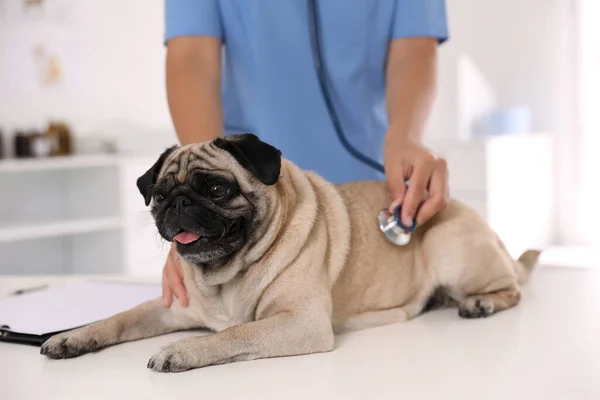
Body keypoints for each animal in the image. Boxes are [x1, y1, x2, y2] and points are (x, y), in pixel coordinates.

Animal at [39, 134, 540, 372]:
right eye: (159, 196)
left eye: (217, 190)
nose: (179, 204)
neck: (224, 277)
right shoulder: (168, 308)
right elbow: (119, 318)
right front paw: (74, 337)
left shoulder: (300, 322)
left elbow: (233, 334)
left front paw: (183, 350)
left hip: (450, 245)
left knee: (514, 288)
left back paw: (481, 302)